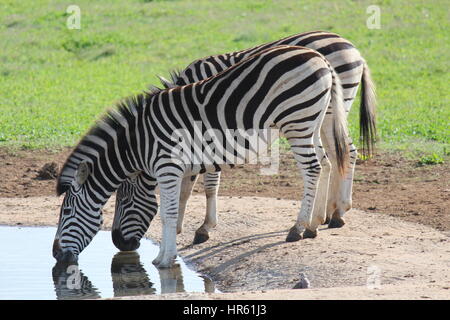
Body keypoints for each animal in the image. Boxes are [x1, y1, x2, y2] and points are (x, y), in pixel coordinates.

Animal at [54, 45, 352, 268]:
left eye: (66, 212)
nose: (56, 255)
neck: (140, 143)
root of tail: (320, 58)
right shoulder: (183, 166)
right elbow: (178, 204)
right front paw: (167, 252)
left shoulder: (168, 167)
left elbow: (168, 213)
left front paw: (165, 259)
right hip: (311, 123)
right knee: (325, 162)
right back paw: (314, 225)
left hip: (297, 121)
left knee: (312, 168)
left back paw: (298, 228)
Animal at [112, 30, 376, 250]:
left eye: (123, 199)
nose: (118, 243)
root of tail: (354, 49)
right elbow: (188, 185)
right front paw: (180, 226)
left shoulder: (208, 131)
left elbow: (204, 184)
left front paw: (201, 228)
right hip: (323, 115)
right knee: (337, 156)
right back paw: (329, 214)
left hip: (328, 111)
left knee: (341, 154)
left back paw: (331, 215)